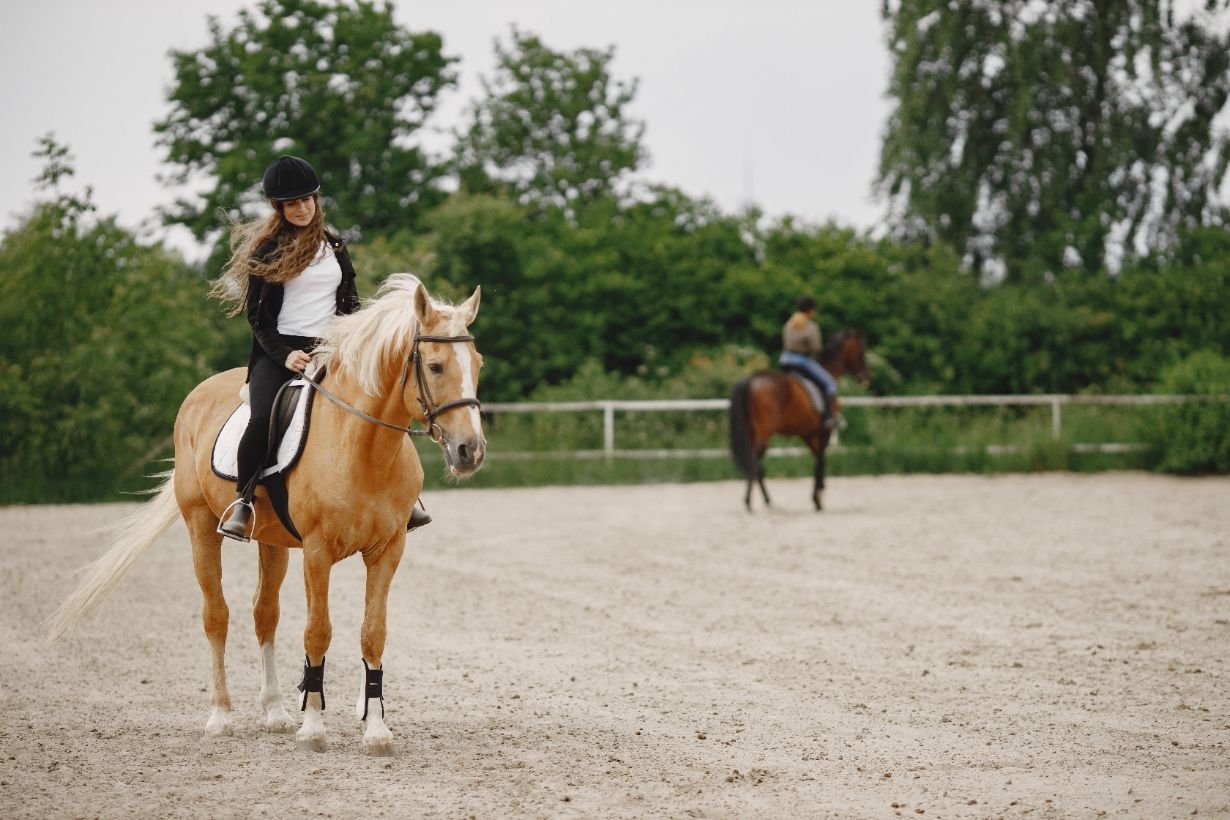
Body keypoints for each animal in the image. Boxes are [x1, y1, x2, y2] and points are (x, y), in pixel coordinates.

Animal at [48, 274, 485, 756]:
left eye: (477, 363)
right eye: (435, 366)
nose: (470, 450)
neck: (362, 446)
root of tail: (199, 394)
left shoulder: (388, 550)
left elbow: (373, 632)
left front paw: (375, 730)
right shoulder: (317, 552)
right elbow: (317, 631)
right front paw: (313, 728)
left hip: (273, 543)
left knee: (265, 615)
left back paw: (275, 712)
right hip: (201, 527)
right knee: (216, 615)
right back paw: (221, 716)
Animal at [728, 329, 869, 512]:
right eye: (861, 352)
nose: (865, 378)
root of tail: (751, 379)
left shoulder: (808, 434)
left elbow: (818, 458)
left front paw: (818, 495)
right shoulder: (824, 431)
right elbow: (821, 460)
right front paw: (818, 498)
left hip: (753, 432)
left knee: (756, 463)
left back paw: (766, 501)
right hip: (764, 433)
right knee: (754, 460)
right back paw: (751, 502)